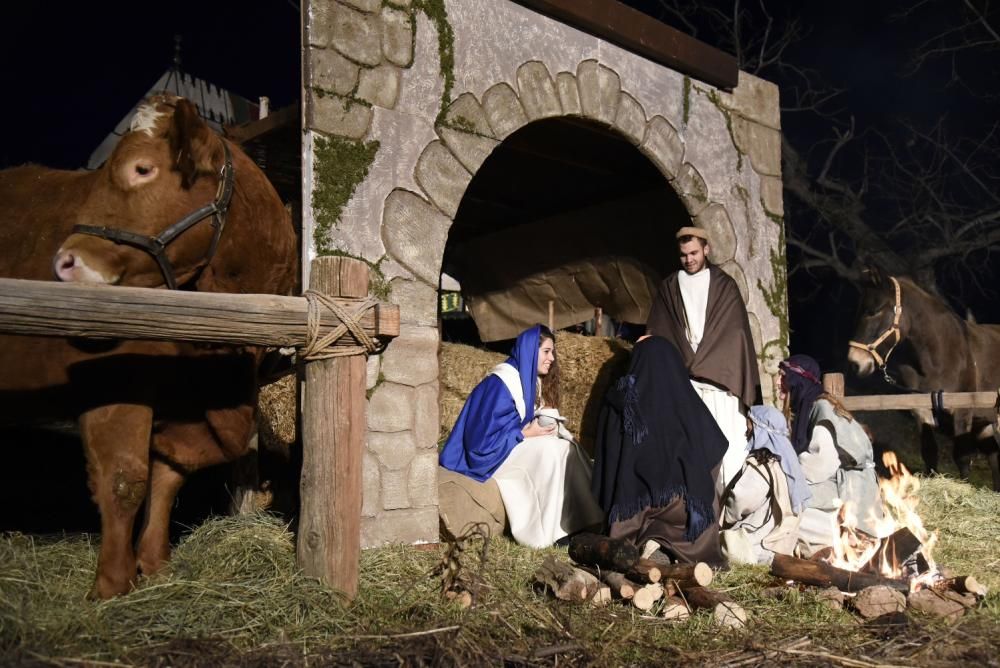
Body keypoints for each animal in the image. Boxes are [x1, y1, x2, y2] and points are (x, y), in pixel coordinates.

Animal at [0, 92, 296, 596]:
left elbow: (169, 475)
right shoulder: (114, 383)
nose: (63, 263)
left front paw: (155, 565)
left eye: (142, 169)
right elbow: (125, 478)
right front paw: (112, 586)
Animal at [848, 268, 1000, 490]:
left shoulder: (963, 411)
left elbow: (962, 458)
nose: (854, 362)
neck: (939, 357)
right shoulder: (921, 409)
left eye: (875, 310)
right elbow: (929, 452)